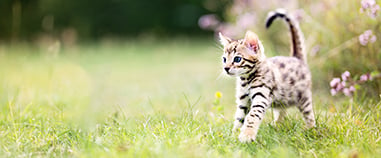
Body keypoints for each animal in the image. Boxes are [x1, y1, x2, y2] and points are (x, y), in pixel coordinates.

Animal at [218, 8, 316, 143]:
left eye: (237, 59)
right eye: (224, 59)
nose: (226, 68)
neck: (246, 80)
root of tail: (296, 57)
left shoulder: (261, 98)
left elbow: (251, 117)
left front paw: (247, 136)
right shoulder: (243, 102)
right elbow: (239, 119)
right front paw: (233, 136)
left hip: (303, 97)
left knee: (309, 115)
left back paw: (310, 130)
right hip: (282, 100)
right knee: (282, 112)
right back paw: (277, 126)